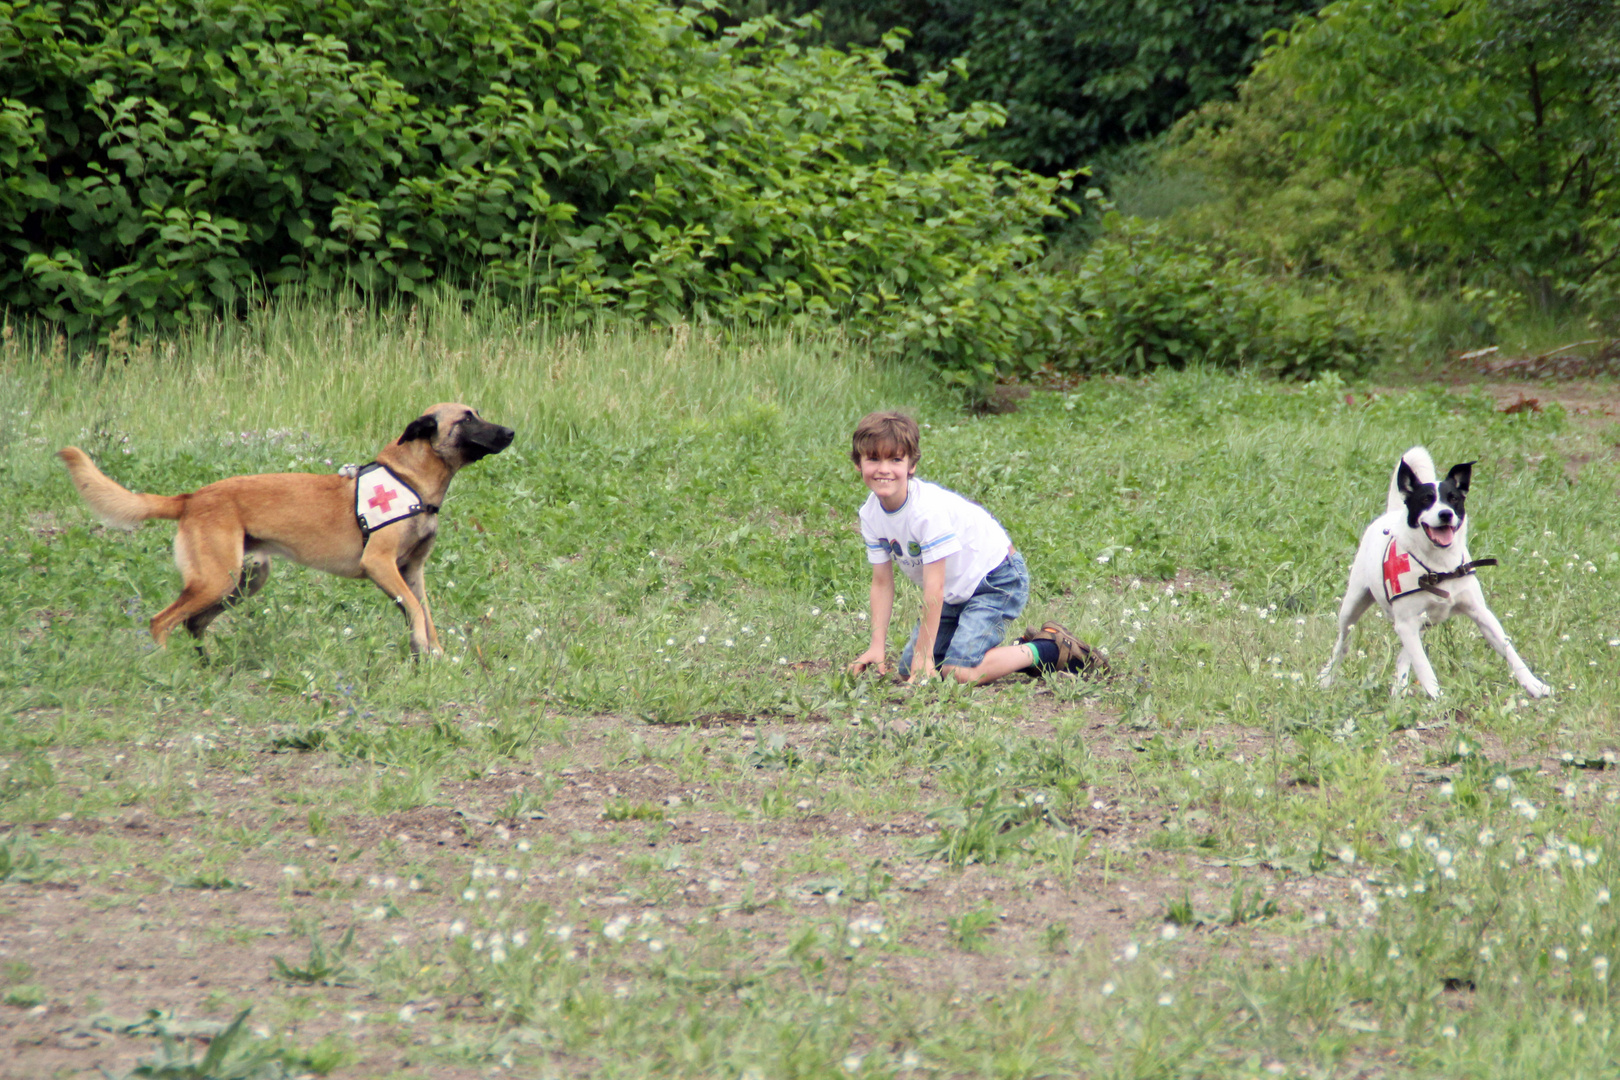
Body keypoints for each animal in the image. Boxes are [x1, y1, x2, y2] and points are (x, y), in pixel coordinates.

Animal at [58, 404, 511, 654]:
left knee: (193, 624)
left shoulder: (412, 572)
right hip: (215, 580)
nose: (511, 432)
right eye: (467, 418)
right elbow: (417, 612)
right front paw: (423, 650)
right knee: (162, 621)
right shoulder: (380, 565)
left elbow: (426, 614)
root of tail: (192, 497)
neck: (411, 481)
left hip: (243, 582)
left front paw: (433, 655)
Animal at [1315, 446, 1555, 702]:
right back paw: (1326, 677)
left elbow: (1510, 652)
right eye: (1426, 500)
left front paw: (1535, 685)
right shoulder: (1407, 623)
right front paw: (1437, 698)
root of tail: (1392, 514)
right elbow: (1424, 666)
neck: (1441, 566)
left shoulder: (1481, 614)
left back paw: (1399, 690)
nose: (1445, 514)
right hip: (1354, 606)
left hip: (1421, 624)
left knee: (1403, 655)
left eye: (1454, 499)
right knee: (1343, 644)